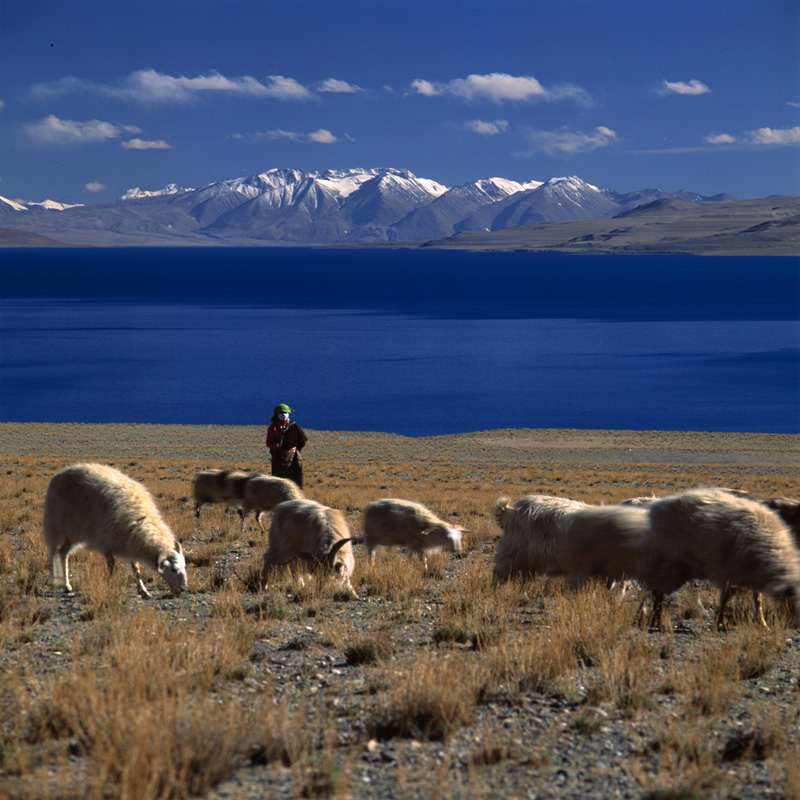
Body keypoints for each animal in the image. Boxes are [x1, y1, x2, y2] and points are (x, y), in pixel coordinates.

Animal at [44, 460, 188, 596]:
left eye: (184, 566)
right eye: (173, 569)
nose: (183, 589)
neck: (139, 521)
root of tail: (62, 472)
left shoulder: (129, 541)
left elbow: (136, 568)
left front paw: (143, 590)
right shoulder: (106, 542)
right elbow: (112, 565)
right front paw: (110, 584)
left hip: (72, 534)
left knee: (63, 553)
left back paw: (66, 585)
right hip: (57, 526)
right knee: (54, 552)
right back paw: (58, 582)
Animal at [636, 488, 800, 632]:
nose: (795, 624)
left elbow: (752, 598)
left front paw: (761, 622)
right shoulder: (732, 571)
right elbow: (729, 597)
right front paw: (719, 622)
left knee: (655, 591)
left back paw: (652, 619)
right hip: (669, 563)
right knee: (655, 591)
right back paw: (654, 620)